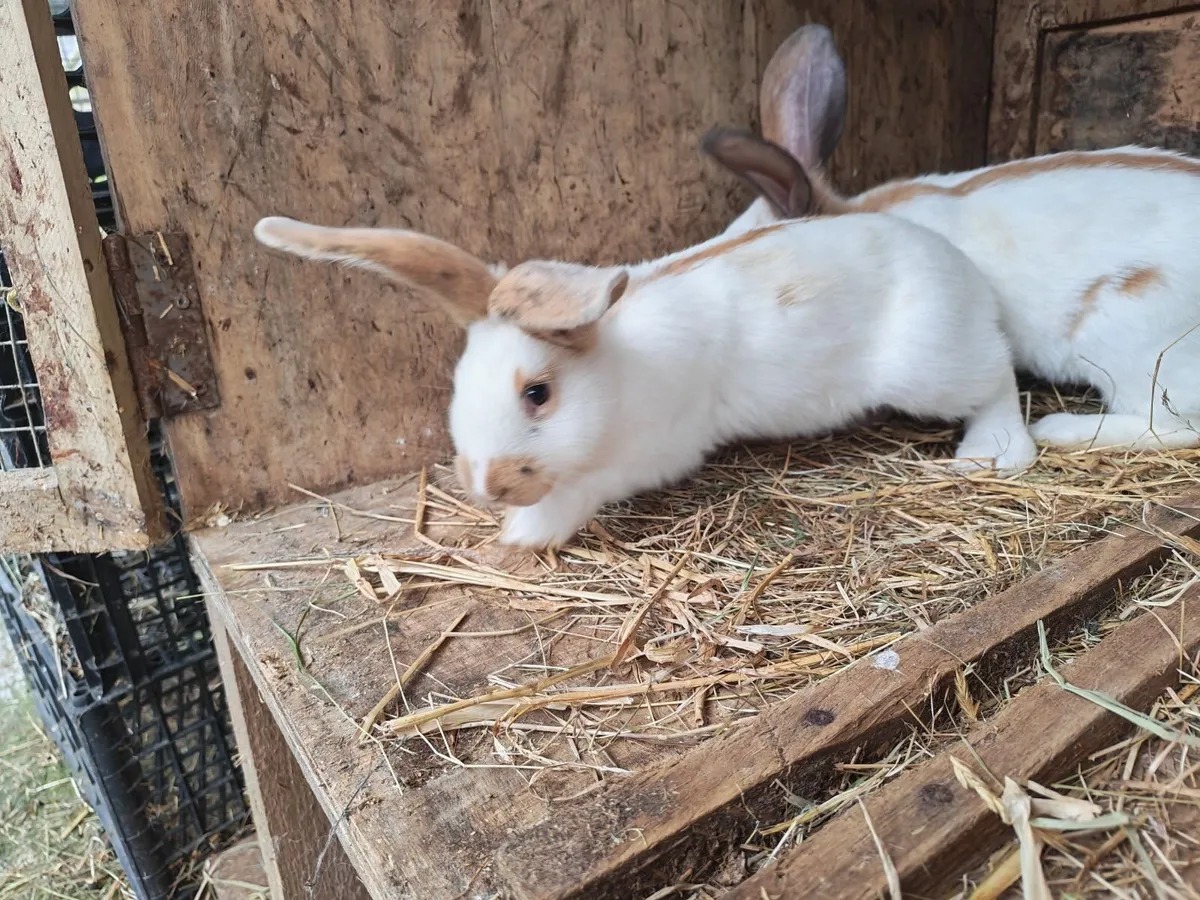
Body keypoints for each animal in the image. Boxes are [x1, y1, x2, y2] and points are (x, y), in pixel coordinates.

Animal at [254, 180, 1035, 549]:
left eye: (537, 393)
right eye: (457, 385)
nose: (489, 485)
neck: (616, 375)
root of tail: (963, 271)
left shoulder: (652, 452)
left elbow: (581, 490)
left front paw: (523, 535)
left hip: (932, 365)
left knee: (997, 381)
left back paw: (993, 454)